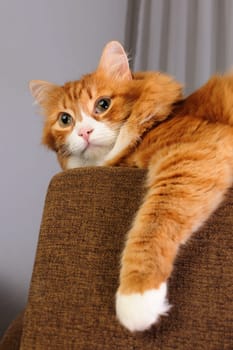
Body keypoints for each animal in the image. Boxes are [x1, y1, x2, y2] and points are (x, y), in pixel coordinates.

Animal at [29, 40, 233, 330]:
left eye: (102, 104)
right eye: (65, 119)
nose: (84, 132)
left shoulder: (193, 152)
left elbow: (153, 222)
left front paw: (137, 297)